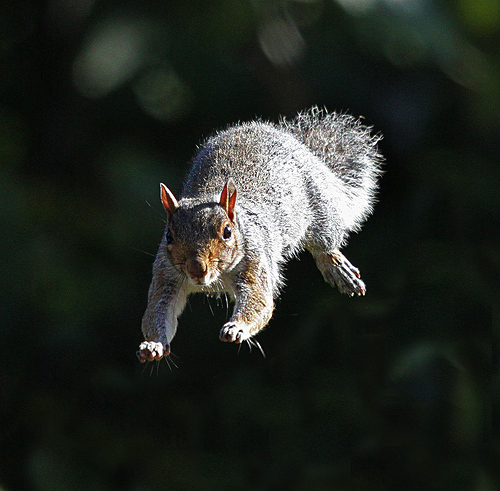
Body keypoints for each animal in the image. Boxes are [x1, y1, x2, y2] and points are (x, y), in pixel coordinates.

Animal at [137, 107, 383, 362]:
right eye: (169, 236)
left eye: (227, 232)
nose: (197, 269)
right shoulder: (166, 274)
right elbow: (157, 311)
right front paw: (153, 344)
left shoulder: (255, 262)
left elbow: (259, 301)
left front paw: (237, 327)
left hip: (320, 206)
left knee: (324, 242)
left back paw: (337, 267)